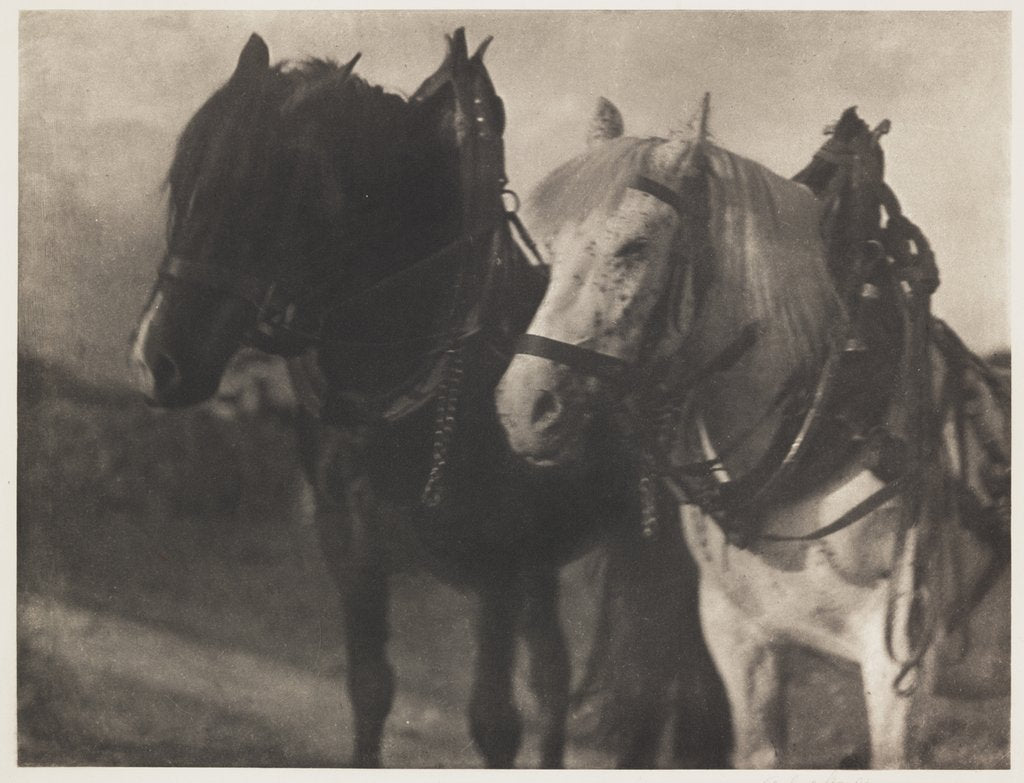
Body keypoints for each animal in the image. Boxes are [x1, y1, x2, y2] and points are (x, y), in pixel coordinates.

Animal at [129, 30, 731, 768]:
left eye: (266, 193)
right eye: (186, 183)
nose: (156, 360)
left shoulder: (499, 563)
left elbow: (495, 721)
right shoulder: (354, 548)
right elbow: (370, 687)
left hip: (667, 559)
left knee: (679, 690)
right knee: (559, 675)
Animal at [495, 98, 1010, 768]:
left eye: (634, 246)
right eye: (551, 252)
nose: (524, 406)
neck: (817, 431)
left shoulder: (900, 666)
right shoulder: (741, 641)